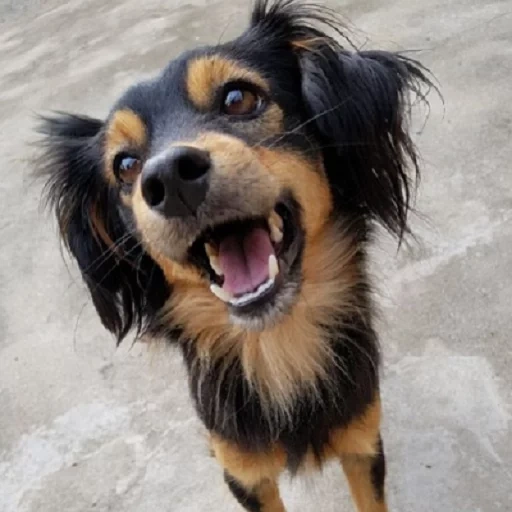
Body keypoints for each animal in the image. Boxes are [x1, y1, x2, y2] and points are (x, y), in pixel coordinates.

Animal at [36, 1, 430, 512]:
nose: (169, 178)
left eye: (239, 99)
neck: (277, 345)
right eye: (124, 166)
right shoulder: (243, 473)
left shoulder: (363, 438)